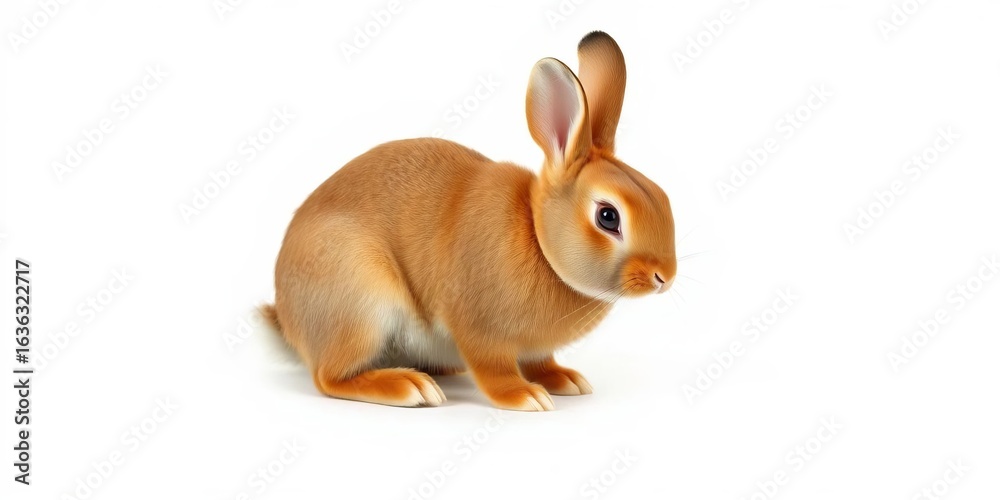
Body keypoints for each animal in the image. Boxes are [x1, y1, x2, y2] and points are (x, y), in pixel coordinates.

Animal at [262, 31, 676, 411]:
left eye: (662, 197)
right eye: (608, 217)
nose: (665, 278)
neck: (538, 238)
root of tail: (288, 318)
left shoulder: (534, 348)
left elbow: (541, 361)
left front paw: (565, 380)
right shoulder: (478, 328)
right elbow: (493, 369)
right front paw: (524, 396)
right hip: (360, 303)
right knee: (330, 377)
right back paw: (410, 387)